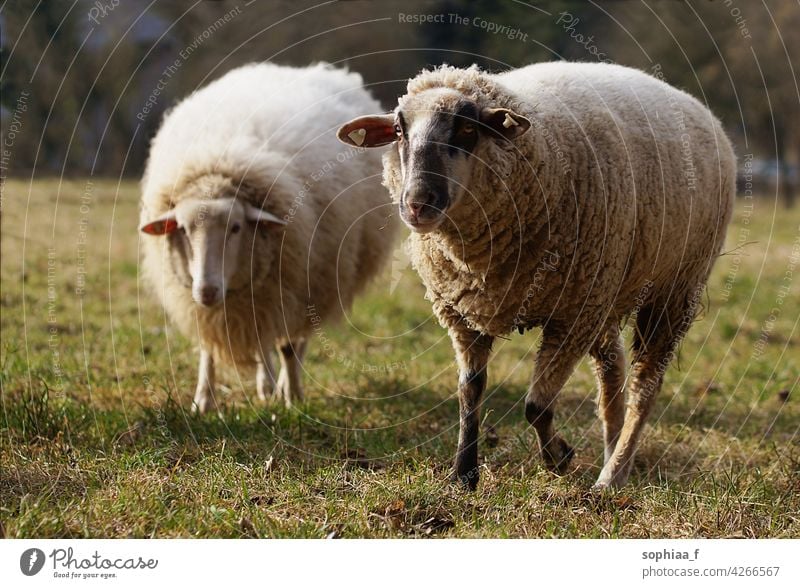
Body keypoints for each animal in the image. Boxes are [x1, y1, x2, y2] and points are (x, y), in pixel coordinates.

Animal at [142, 62, 398, 412]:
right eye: (181, 229)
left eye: (236, 227)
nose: (207, 291)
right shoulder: (211, 307)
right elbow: (208, 349)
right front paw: (203, 401)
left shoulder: (297, 281)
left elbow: (288, 346)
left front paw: (291, 398)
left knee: (293, 342)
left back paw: (284, 387)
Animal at [338, 62, 732, 490]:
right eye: (398, 130)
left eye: (467, 129)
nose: (417, 204)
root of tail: (699, 107)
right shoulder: (464, 314)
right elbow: (469, 392)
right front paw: (463, 474)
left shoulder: (571, 317)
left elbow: (536, 406)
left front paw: (558, 457)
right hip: (604, 293)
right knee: (612, 373)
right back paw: (612, 455)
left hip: (673, 288)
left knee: (645, 386)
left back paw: (611, 477)